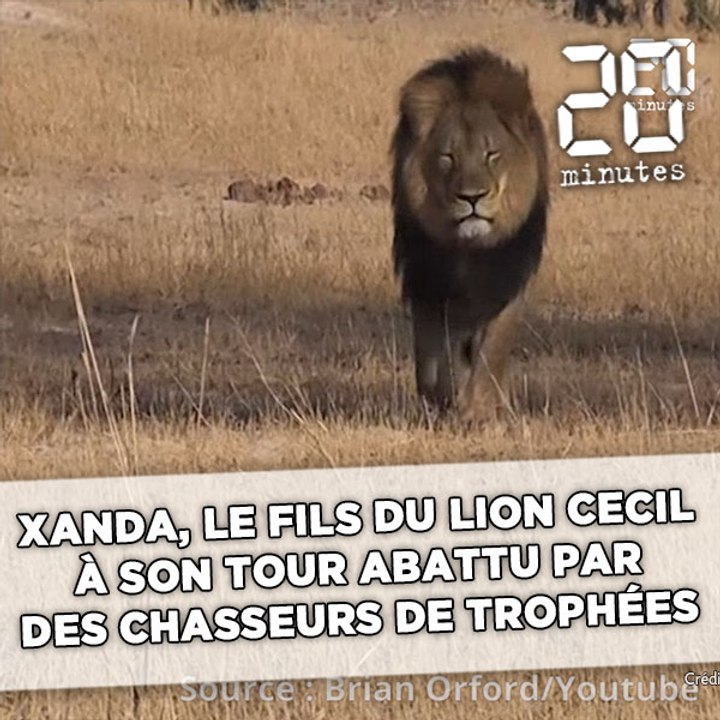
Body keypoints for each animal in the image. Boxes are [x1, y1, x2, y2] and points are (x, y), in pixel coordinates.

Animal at [390, 47, 549, 422]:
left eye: (492, 154)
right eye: (448, 157)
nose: (472, 198)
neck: (470, 250)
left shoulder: (507, 281)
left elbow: (491, 353)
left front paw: (479, 410)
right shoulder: (429, 283)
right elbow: (437, 358)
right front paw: (444, 400)